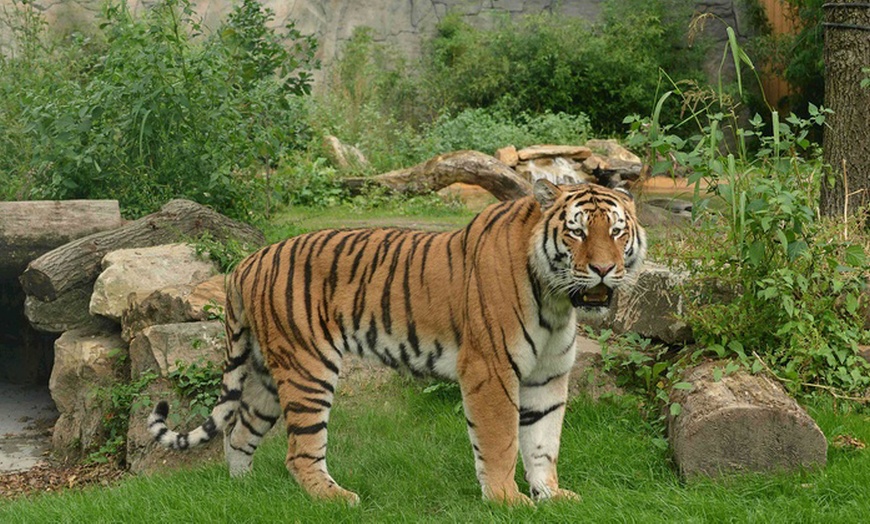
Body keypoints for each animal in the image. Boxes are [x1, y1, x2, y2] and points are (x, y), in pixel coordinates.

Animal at [146, 179, 644, 504]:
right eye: (577, 231)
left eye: (616, 231)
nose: (602, 269)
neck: (557, 300)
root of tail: (246, 263)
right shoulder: (491, 370)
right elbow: (501, 440)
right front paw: (508, 500)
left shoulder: (548, 377)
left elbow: (543, 441)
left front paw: (552, 496)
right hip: (309, 367)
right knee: (299, 452)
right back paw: (337, 498)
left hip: (269, 374)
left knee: (238, 432)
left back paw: (242, 493)